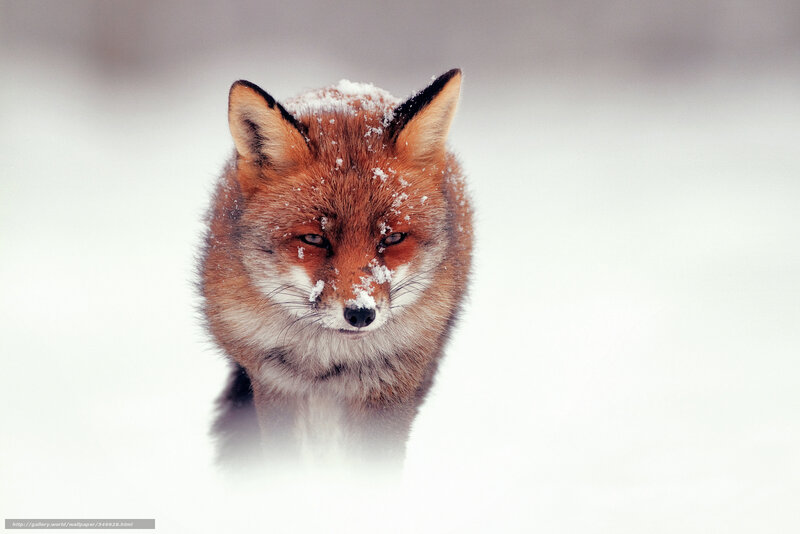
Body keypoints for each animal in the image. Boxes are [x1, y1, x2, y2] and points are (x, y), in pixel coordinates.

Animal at [199, 69, 473, 468]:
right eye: (314, 238)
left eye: (393, 238)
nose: (360, 314)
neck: (328, 360)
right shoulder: (274, 382)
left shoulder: (390, 385)